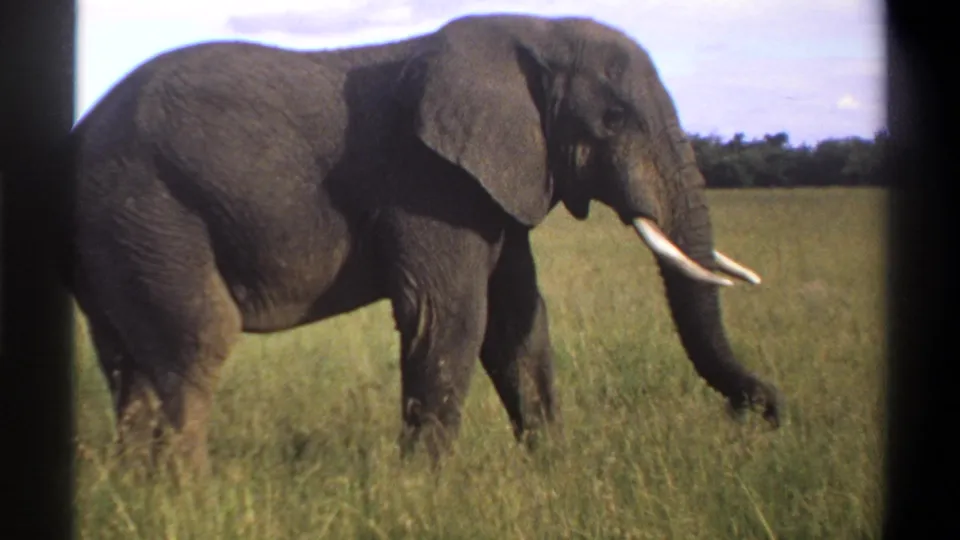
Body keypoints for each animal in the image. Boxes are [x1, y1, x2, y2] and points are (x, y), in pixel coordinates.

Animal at [63, 13, 782, 475]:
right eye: (613, 119)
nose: (766, 415)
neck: (534, 31)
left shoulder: (490, 185)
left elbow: (520, 324)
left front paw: (553, 471)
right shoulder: (427, 180)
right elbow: (451, 316)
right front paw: (425, 492)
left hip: (115, 231)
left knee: (129, 363)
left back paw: (137, 493)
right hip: (148, 205)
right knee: (196, 341)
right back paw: (190, 496)